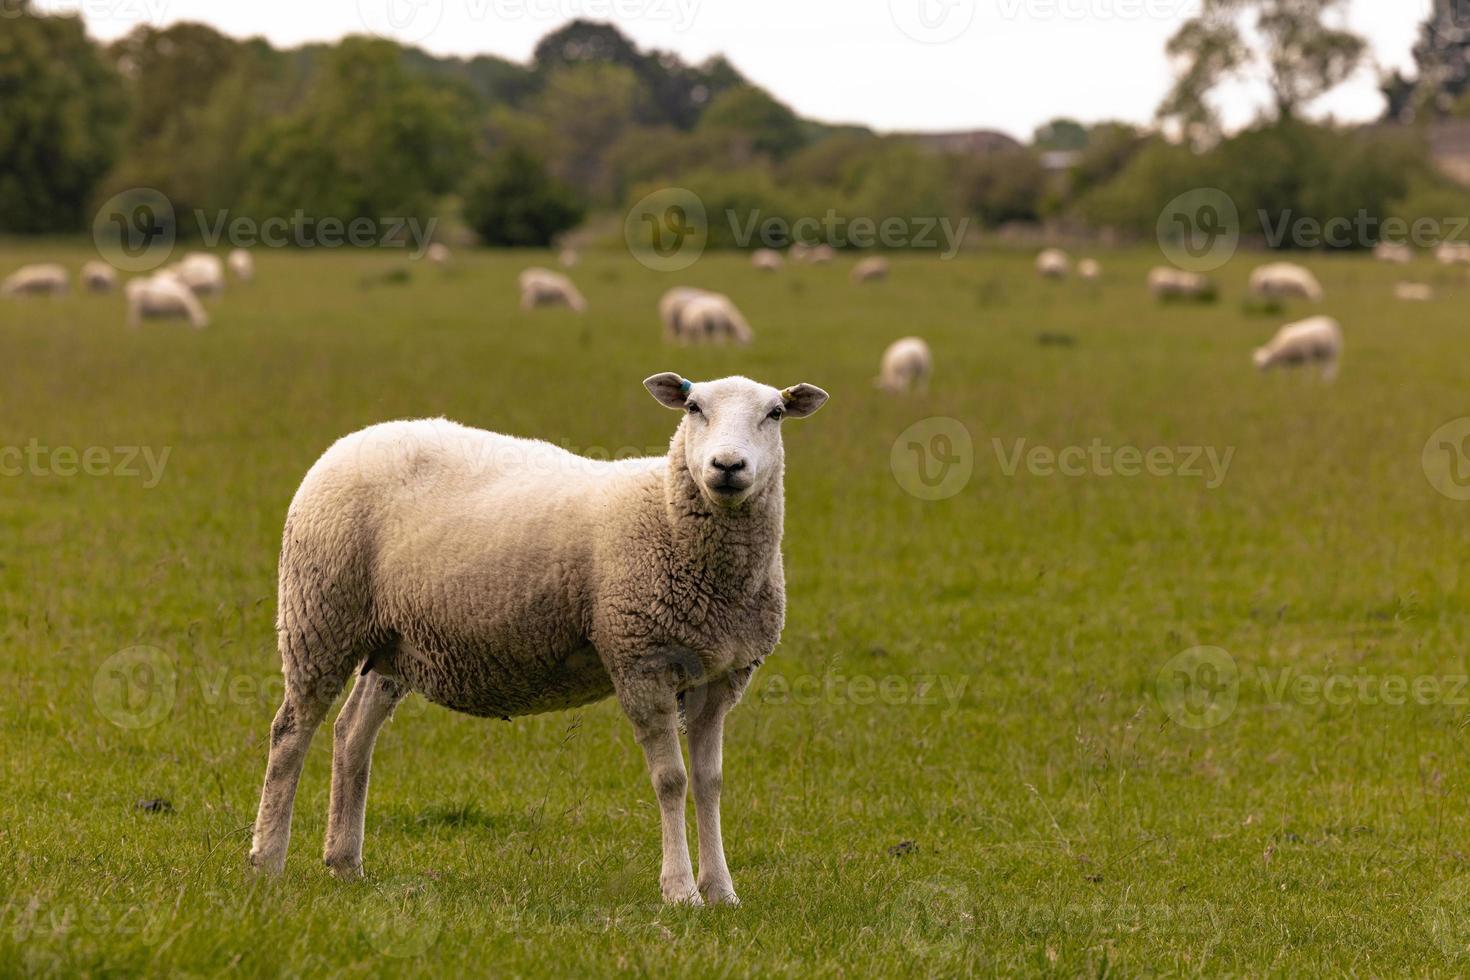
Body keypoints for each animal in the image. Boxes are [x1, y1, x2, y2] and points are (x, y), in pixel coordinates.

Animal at [246, 371, 834, 910]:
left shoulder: (721, 677)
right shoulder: (640, 661)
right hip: (321, 613)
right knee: (290, 733)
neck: (668, 516)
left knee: (351, 734)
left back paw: (344, 862)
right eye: (693, 408)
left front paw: (722, 892)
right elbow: (671, 780)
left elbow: (710, 782)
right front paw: (681, 891)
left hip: (394, 642)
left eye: (775, 413)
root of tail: (350, 441)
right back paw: (267, 861)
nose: (727, 467)